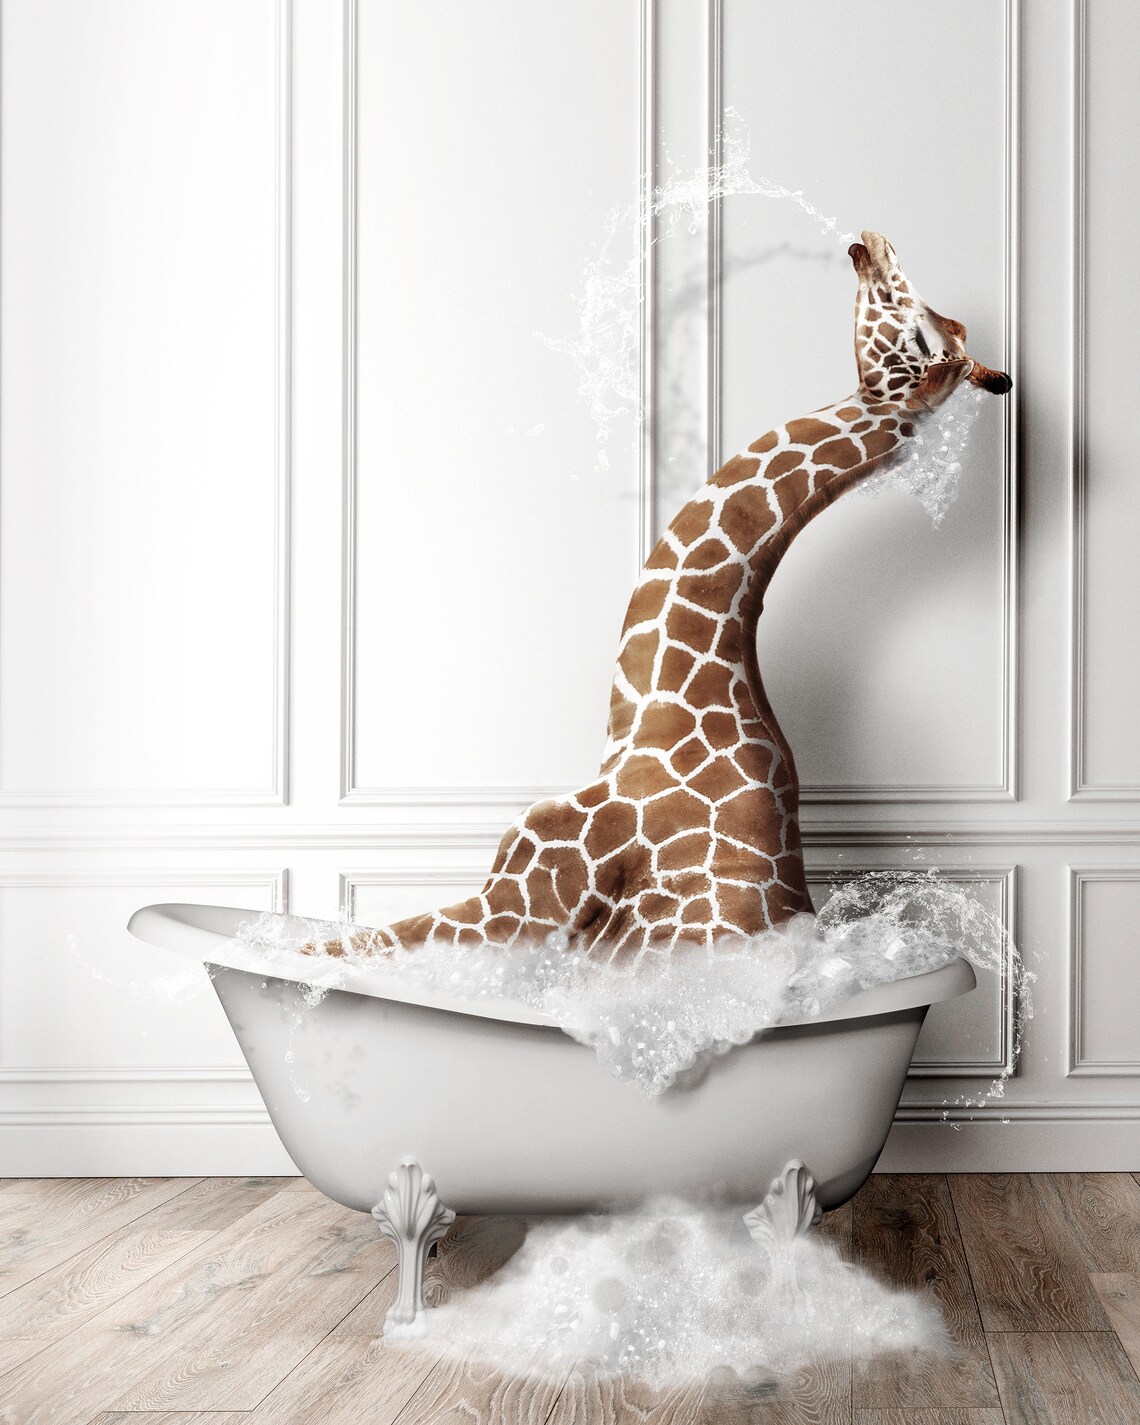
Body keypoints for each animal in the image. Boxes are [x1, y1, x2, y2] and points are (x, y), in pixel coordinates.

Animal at [323, 232, 1011, 965]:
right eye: (933, 322)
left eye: (917, 333)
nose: (875, 244)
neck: (652, 713)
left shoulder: (530, 889)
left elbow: (342, 945)